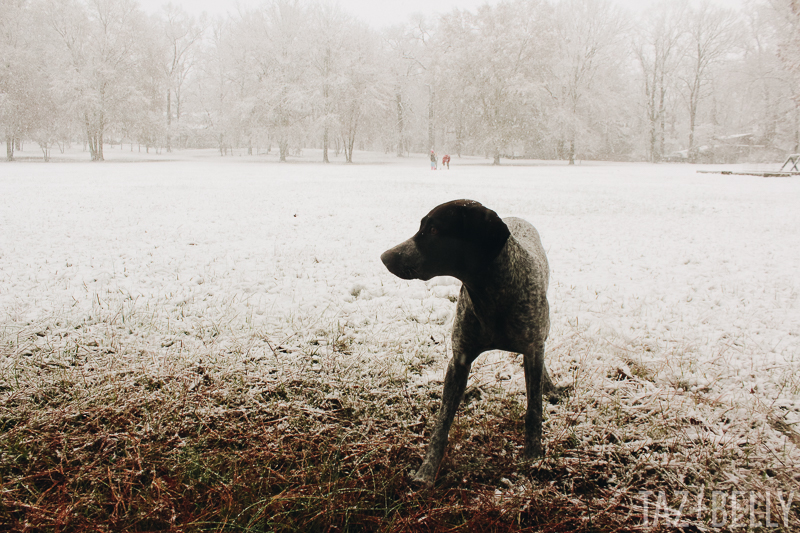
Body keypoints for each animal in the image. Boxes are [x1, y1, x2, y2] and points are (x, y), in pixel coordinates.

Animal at [382, 200, 556, 486]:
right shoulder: (459, 360)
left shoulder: (532, 350)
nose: (385, 257)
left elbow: (534, 411)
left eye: (433, 229)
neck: (491, 295)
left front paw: (532, 459)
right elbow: (441, 424)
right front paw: (427, 471)